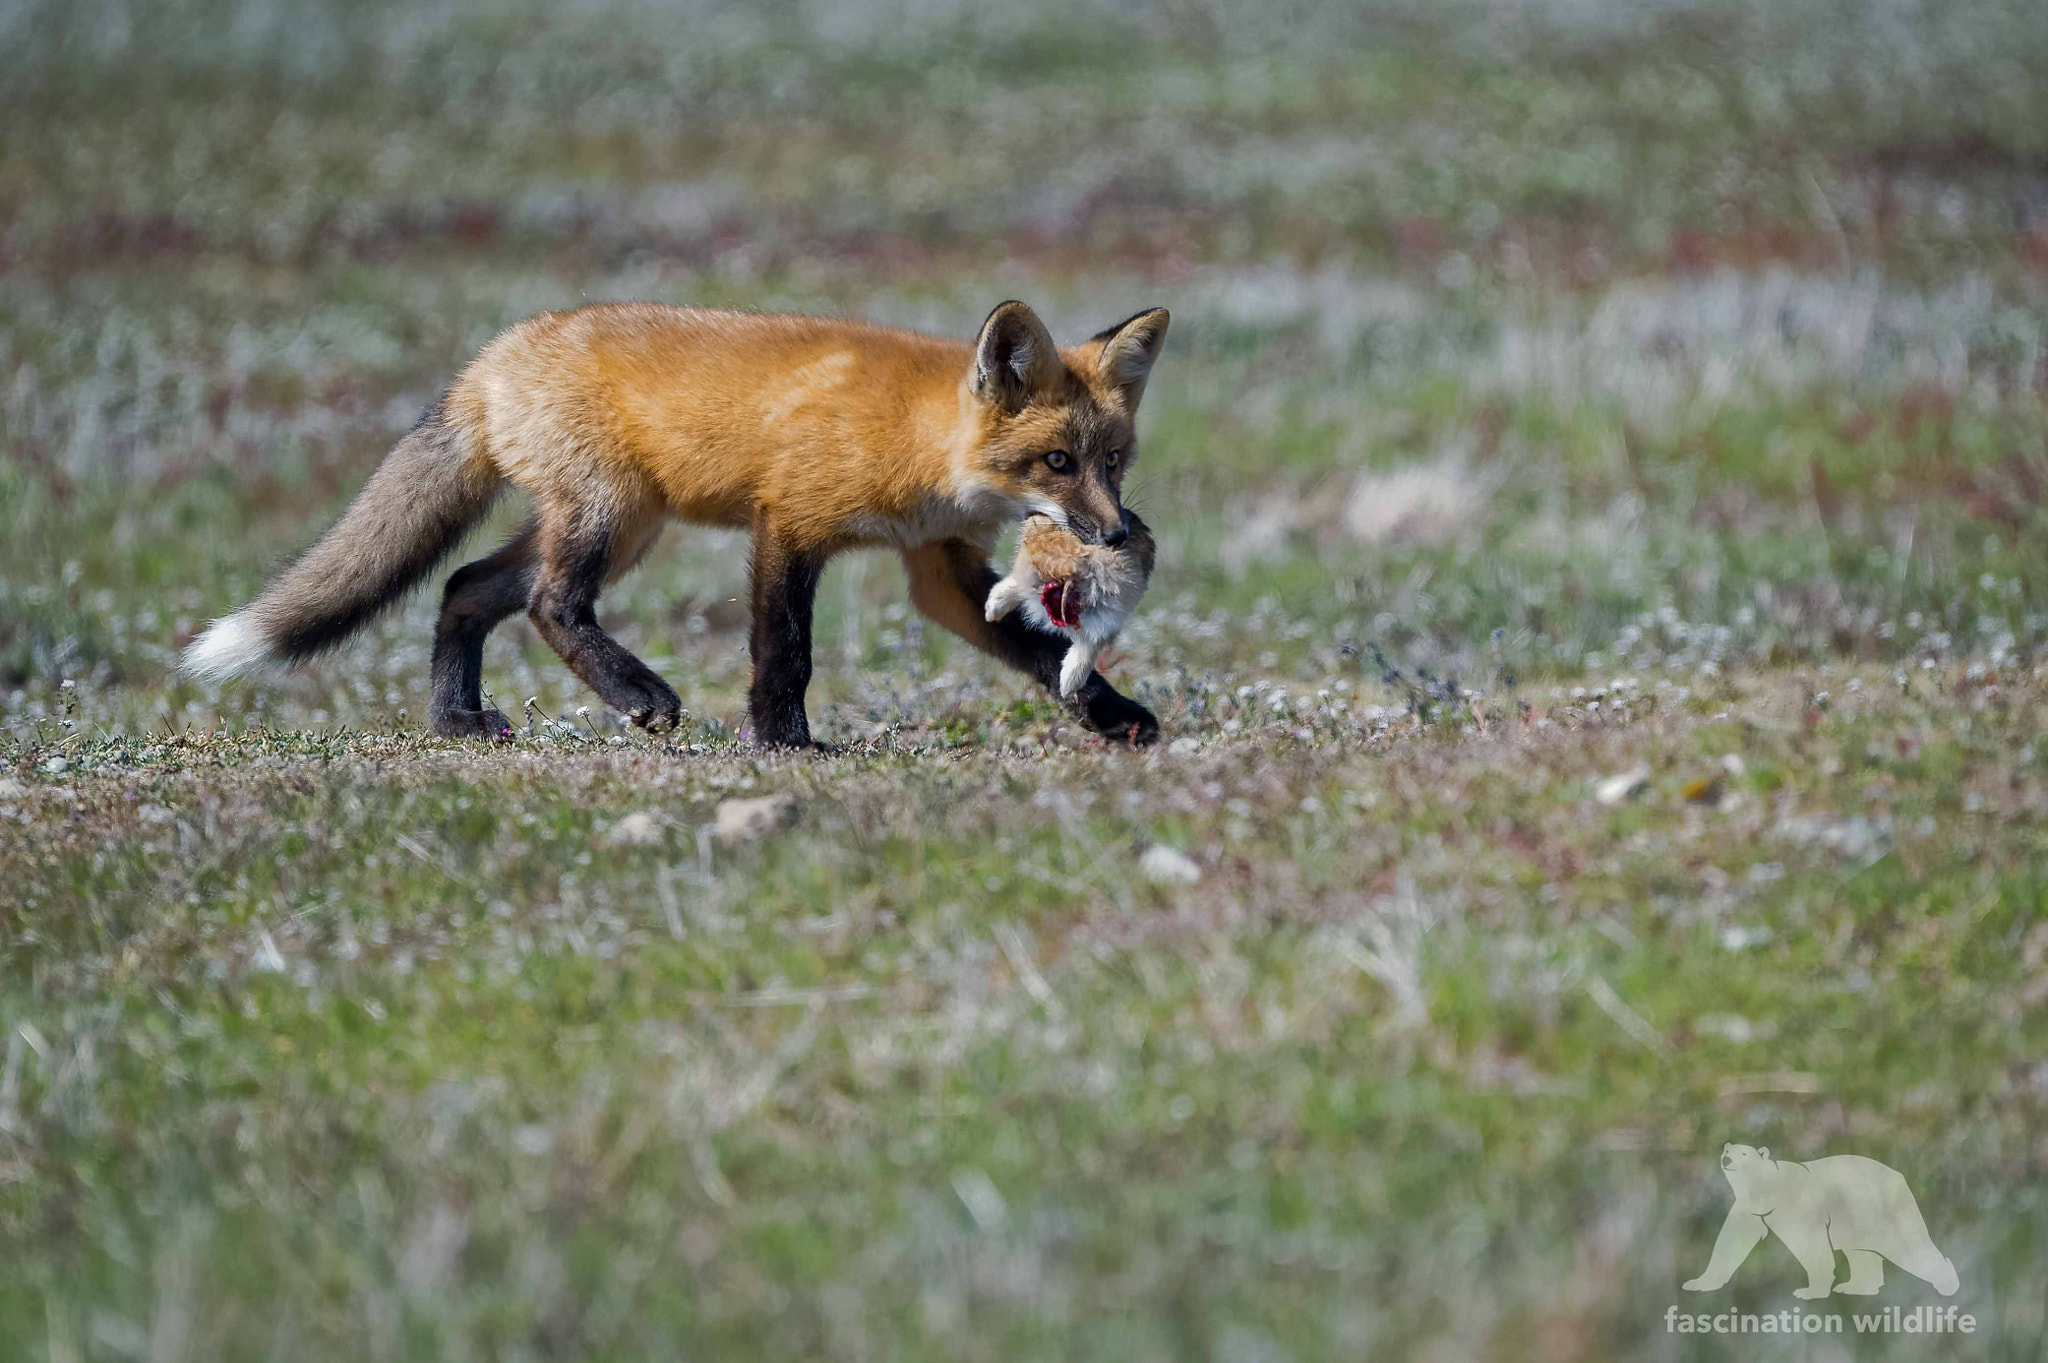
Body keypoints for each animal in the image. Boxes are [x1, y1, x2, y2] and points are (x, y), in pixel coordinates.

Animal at [176, 300, 1171, 744]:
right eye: (1056, 462)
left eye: (1113, 461)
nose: (1118, 536)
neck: (917, 440)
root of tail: (489, 358)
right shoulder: (789, 522)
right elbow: (786, 649)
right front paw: (785, 742)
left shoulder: (939, 567)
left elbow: (1043, 654)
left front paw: (1114, 715)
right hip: (606, 519)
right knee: (547, 604)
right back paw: (636, 694)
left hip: (624, 528)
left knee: (463, 587)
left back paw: (457, 718)